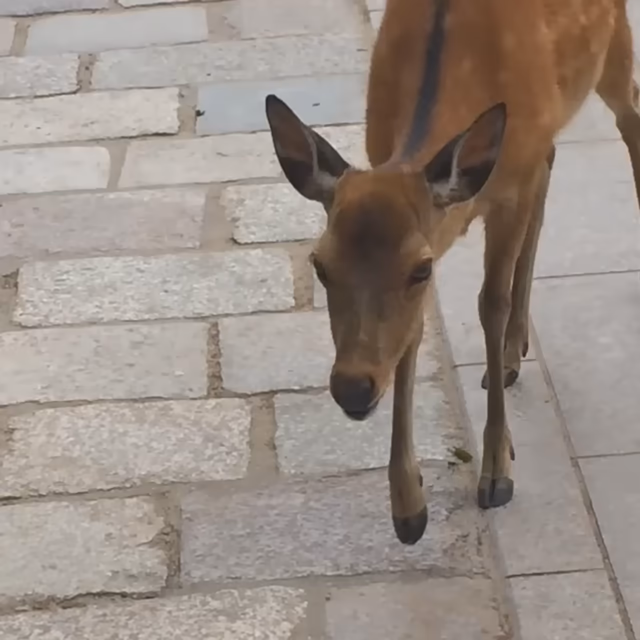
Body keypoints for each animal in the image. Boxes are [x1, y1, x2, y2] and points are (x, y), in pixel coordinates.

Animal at [263, 0, 640, 545]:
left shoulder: (506, 193)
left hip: (615, 49)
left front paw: (497, 473)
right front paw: (408, 508)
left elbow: (490, 303)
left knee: (631, 113)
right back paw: (513, 353)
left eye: (419, 270)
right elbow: (414, 333)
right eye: (320, 264)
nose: (352, 387)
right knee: (552, 162)